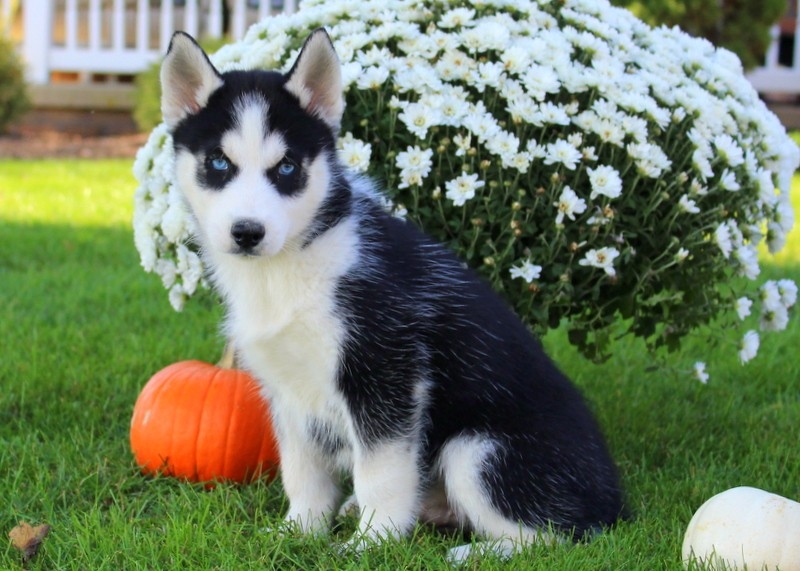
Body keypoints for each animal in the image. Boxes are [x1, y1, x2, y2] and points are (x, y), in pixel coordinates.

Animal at [161, 30, 624, 560]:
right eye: (219, 162)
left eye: (287, 168)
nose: (247, 232)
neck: (295, 261)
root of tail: (616, 500)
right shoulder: (288, 390)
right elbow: (303, 471)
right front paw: (300, 530)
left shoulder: (385, 372)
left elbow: (379, 472)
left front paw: (372, 542)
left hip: (477, 450)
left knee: (560, 535)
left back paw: (475, 553)